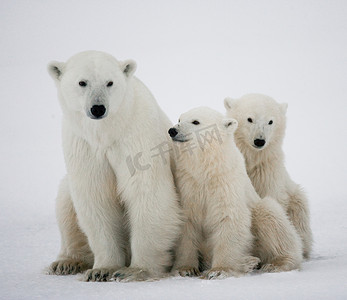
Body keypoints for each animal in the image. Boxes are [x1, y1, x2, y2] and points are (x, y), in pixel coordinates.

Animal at [48, 50, 184, 282]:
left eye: (109, 82)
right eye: (82, 82)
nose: (98, 108)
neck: (108, 132)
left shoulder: (137, 136)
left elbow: (147, 192)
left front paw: (135, 270)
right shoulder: (84, 145)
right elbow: (96, 198)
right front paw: (102, 269)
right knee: (66, 203)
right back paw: (65, 262)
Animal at [169, 106, 302, 278]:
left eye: (195, 121)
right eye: (179, 119)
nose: (172, 130)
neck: (208, 170)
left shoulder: (226, 184)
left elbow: (229, 218)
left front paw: (219, 270)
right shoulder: (188, 185)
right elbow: (187, 224)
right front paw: (185, 269)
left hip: (259, 210)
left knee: (270, 216)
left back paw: (275, 263)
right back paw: (249, 262)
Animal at [224, 94, 314, 258]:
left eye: (270, 121)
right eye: (249, 119)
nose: (259, 141)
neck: (252, 160)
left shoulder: (267, 172)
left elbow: (271, 198)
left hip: (295, 200)